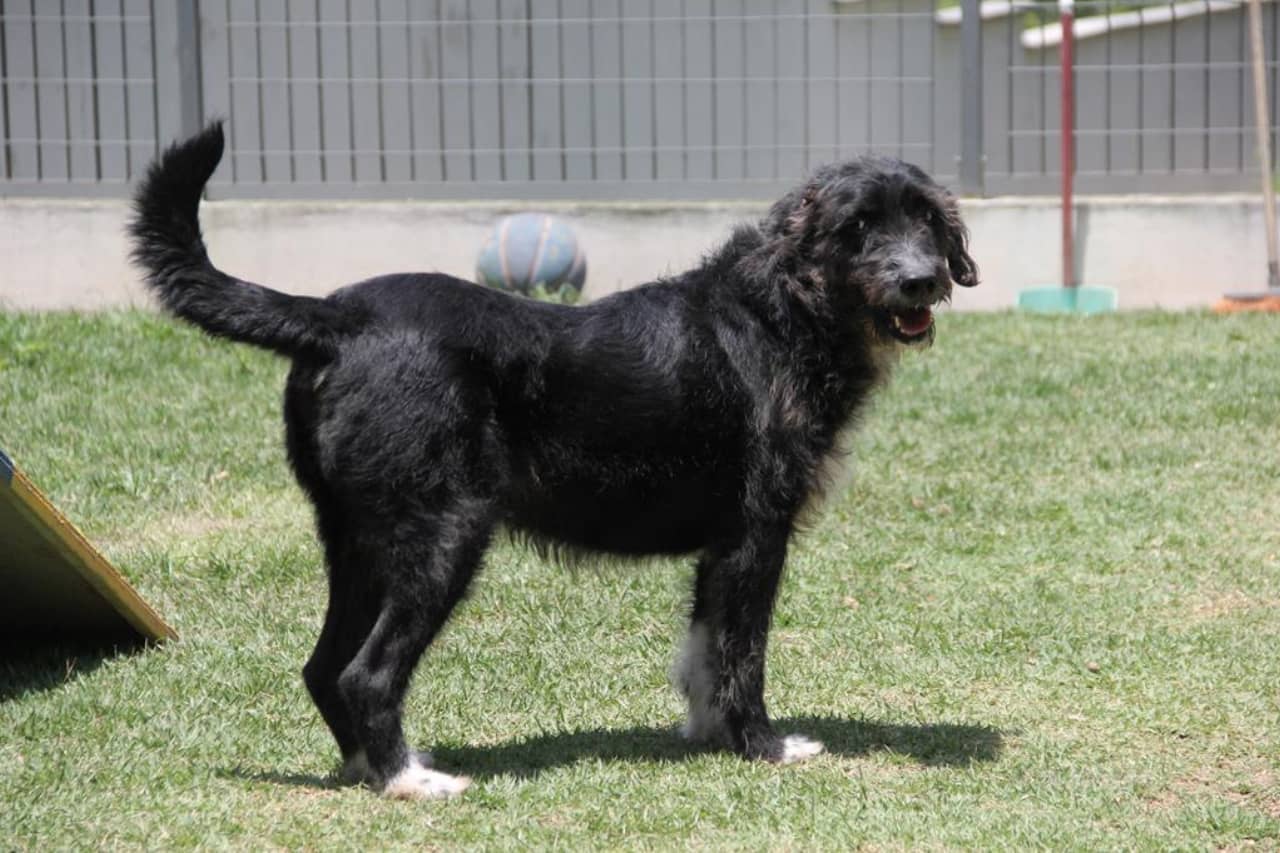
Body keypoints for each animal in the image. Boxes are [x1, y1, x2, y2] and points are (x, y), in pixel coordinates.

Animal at [129, 124, 972, 799]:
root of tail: (338, 315)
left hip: (358, 540)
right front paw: (761, 745)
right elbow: (742, 654)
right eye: (858, 226)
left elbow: (703, 651)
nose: (921, 278)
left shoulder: (720, 548)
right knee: (365, 672)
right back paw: (410, 780)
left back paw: (372, 767)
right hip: (446, 534)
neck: (785, 308)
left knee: (322, 665)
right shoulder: (755, 537)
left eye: (927, 219)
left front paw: (708, 736)